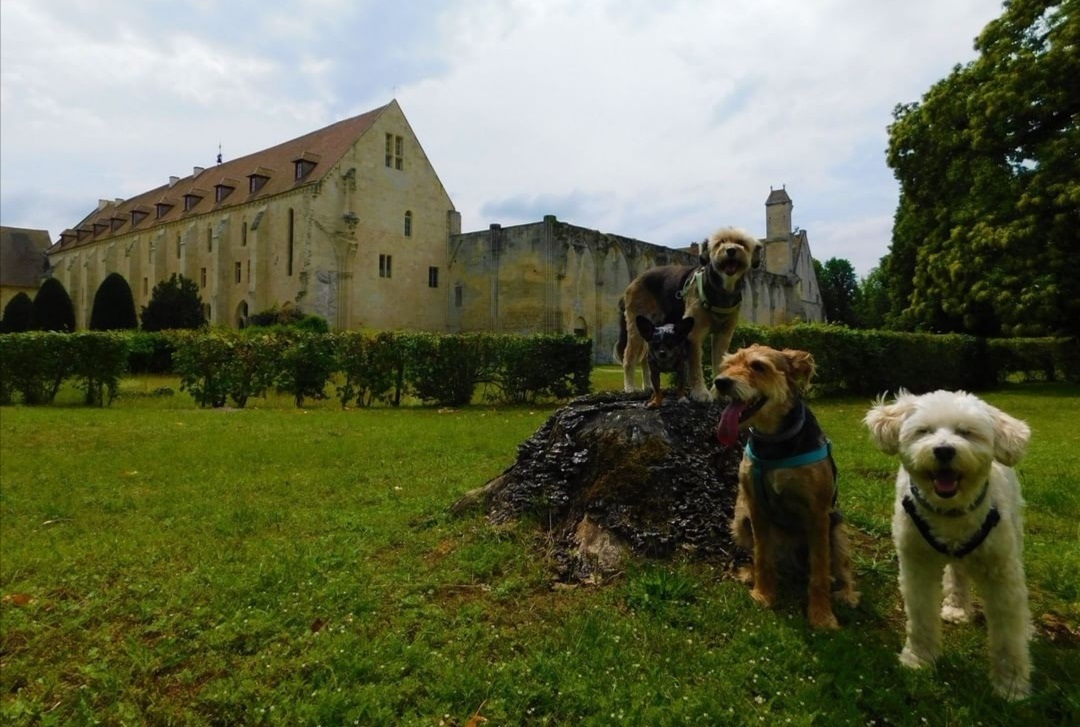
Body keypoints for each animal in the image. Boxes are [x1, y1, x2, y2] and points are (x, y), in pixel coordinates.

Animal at [617, 226, 760, 401]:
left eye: (741, 243)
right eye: (719, 242)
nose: (731, 250)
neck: (720, 289)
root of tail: (632, 284)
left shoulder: (723, 334)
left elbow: (720, 362)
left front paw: (722, 391)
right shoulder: (694, 334)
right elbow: (695, 367)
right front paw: (700, 393)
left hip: (651, 328)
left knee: (645, 358)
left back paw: (649, 386)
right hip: (636, 328)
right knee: (628, 357)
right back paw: (630, 387)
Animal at [712, 343, 855, 626]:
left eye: (758, 366)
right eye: (728, 365)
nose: (720, 382)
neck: (774, 441)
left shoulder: (818, 513)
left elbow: (820, 570)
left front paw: (822, 616)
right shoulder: (755, 508)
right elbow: (762, 557)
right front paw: (763, 594)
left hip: (836, 527)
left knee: (840, 568)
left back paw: (846, 592)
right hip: (740, 519)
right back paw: (750, 572)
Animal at [864, 388, 1032, 699]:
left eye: (966, 433)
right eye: (924, 431)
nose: (943, 450)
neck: (951, 512)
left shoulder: (1002, 574)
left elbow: (1008, 632)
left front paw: (1011, 684)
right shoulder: (916, 563)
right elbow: (920, 615)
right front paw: (919, 658)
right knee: (957, 571)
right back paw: (956, 606)